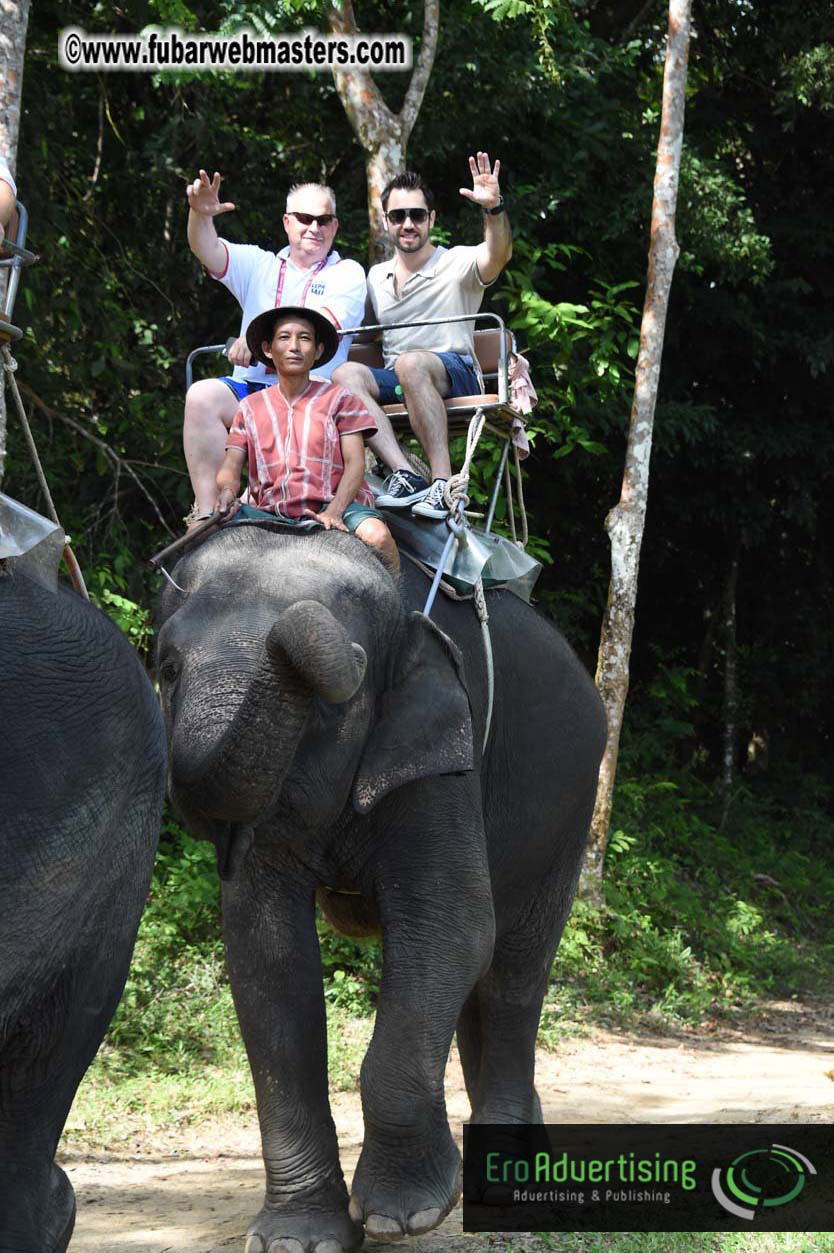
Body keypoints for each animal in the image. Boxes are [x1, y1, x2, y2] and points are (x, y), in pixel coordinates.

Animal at [157, 520, 606, 1253]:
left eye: (338, 694)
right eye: (167, 669)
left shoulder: (441, 755)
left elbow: (451, 924)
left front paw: (404, 1215)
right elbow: (264, 951)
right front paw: (298, 1239)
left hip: (568, 810)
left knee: (513, 971)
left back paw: (508, 1189)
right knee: (484, 985)